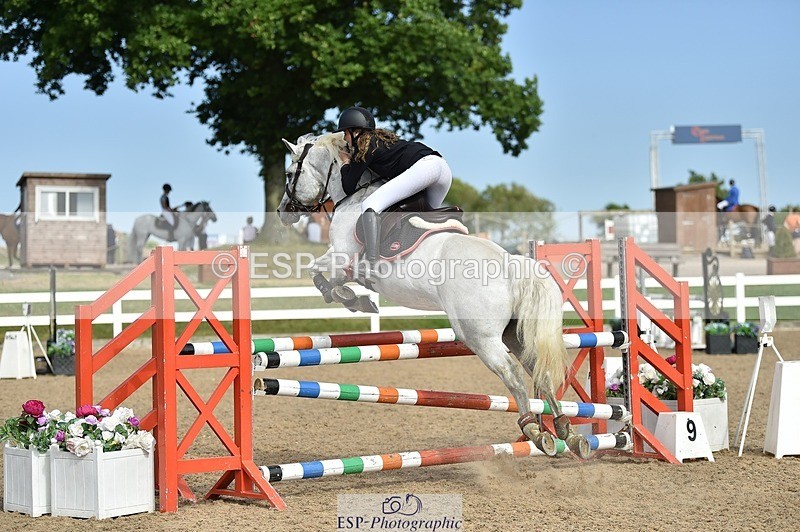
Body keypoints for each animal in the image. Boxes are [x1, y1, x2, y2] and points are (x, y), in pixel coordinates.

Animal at [277, 133, 590, 459]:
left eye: (290, 173)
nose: (283, 211)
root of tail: (511, 264)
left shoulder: (341, 257)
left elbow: (318, 272)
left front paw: (348, 298)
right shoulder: (345, 264)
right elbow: (328, 276)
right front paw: (353, 298)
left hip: (480, 337)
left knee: (512, 373)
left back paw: (534, 429)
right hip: (513, 334)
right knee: (539, 371)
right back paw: (567, 432)